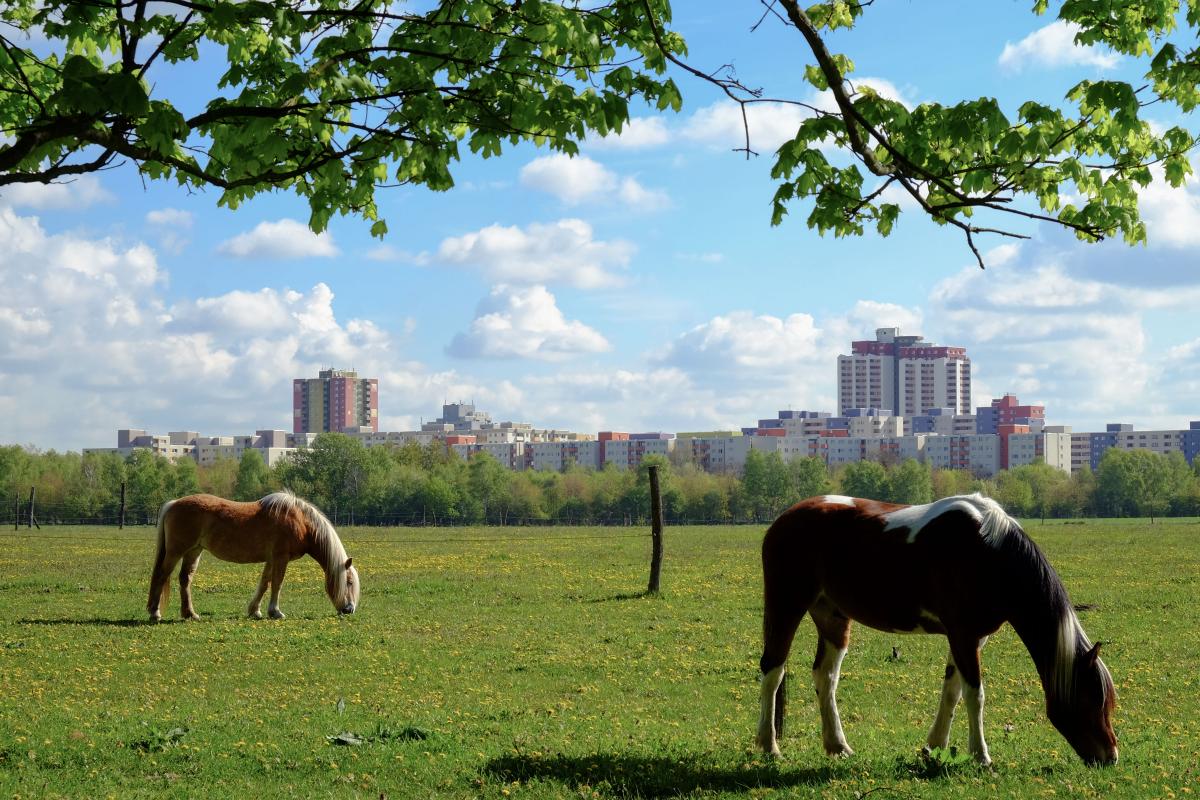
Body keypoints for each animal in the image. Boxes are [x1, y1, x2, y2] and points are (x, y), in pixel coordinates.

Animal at [148, 491, 357, 623]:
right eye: (348, 582)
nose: (349, 609)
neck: (301, 522)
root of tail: (173, 504)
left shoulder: (272, 559)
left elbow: (265, 583)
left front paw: (255, 611)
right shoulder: (281, 557)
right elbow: (277, 583)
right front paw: (275, 612)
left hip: (194, 551)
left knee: (185, 579)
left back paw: (190, 614)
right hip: (176, 551)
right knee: (161, 576)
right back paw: (155, 613)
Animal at [753, 494, 1118, 767]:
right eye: (1091, 699)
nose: (1110, 756)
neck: (988, 552)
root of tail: (784, 519)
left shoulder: (971, 639)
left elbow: (952, 691)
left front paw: (935, 747)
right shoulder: (963, 635)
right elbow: (975, 694)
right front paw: (981, 755)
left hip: (832, 617)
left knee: (825, 677)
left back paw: (837, 746)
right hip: (786, 605)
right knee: (773, 670)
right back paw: (769, 745)